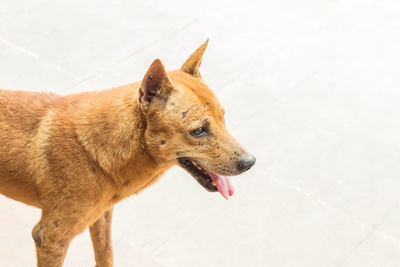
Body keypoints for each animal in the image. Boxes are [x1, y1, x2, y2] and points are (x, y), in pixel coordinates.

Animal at [0, 40, 256, 267]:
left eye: (224, 118)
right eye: (199, 130)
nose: (250, 162)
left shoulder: (101, 217)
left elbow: (106, 255)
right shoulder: (50, 238)